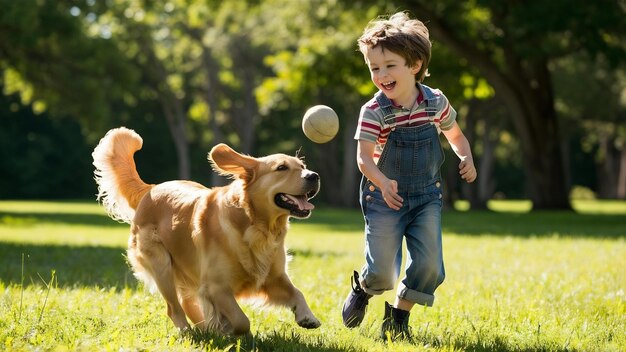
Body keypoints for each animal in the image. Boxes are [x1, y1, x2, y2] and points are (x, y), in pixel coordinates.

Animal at [91, 128, 322, 334]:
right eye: (281, 167)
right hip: (161, 265)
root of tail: (152, 188)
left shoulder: (274, 277)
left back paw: (204, 329)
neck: (256, 225)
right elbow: (241, 320)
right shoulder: (216, 287)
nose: (314, 175)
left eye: (302, 165)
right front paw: (226, 328)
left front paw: (307, 316)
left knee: (186, 302)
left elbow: (297, 292)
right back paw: (188, 332)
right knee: (174, 308)